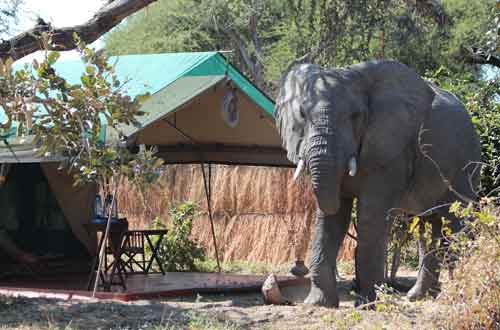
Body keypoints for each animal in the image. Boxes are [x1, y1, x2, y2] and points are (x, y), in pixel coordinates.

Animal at [276, 60, 482, 306]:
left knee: (458, 221)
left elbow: (370, 215)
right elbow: (331, 218)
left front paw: (368, 304)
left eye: (355, 116)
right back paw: (418, 297)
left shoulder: (392, 150)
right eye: (302, 114)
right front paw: (318, 304)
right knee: (432, 226)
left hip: (466, 166)